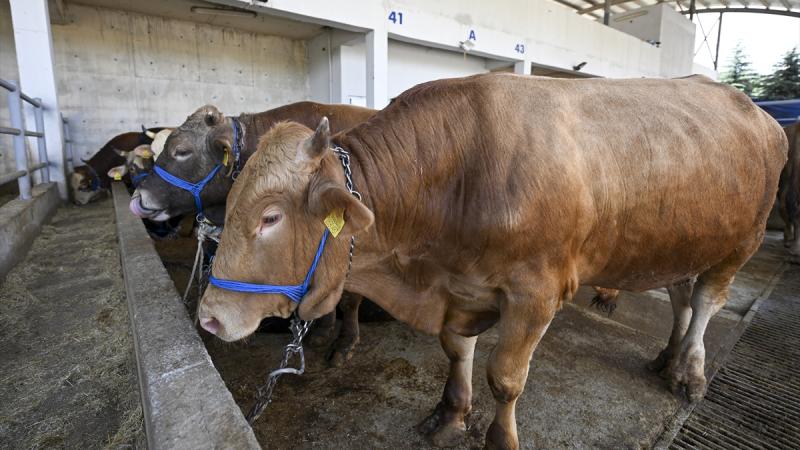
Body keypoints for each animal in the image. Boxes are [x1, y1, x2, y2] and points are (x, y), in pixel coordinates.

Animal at [197, 75, 784, 448]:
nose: (209, 316)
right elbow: (457, 352)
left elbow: (504, 378)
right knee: (682, 297)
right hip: (684, 241)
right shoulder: (460, 287)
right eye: (231, 200)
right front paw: (450, 414)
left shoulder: (535, 294)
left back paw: (690, 372)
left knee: (706, 302)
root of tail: (759, 113)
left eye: (271, 217)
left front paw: (500, 438)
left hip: (740, 244)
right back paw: (667, 357)